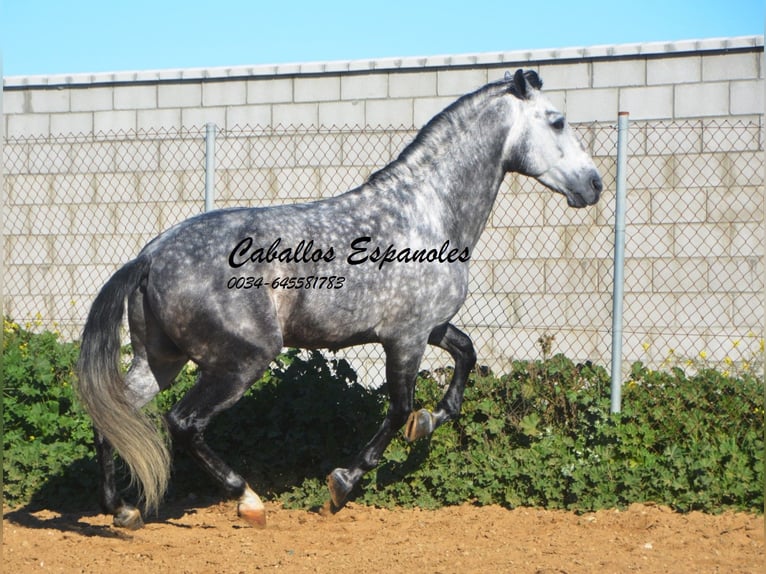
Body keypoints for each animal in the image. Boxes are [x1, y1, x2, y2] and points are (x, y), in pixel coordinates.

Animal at [78, 71, 608, 532]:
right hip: (240, 361)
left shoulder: (429, 327)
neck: (425, 212)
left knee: (112, 415)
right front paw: (343, 484)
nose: (595, 184)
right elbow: (397, 408)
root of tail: (149, 256)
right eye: (557, 120)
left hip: (160, 361)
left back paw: (121, 510)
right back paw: (248, 501)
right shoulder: (406, 338)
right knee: (183, 424)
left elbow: (465, 356)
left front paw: (427, 423)